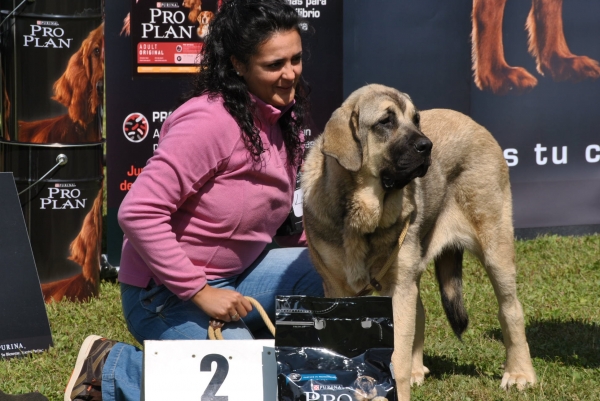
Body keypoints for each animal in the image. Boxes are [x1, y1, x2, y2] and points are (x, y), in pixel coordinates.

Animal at [302, 83, 536, 398]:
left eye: (416, 119)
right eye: (385, 121)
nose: (427, 146)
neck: (362, 215)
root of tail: (474, 123)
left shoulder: (399, 285)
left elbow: (396, 355)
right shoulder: (340, 289)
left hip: (495, 248)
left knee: (510, 309)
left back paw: (519, 372)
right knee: (420, 312)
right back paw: (417, 370)